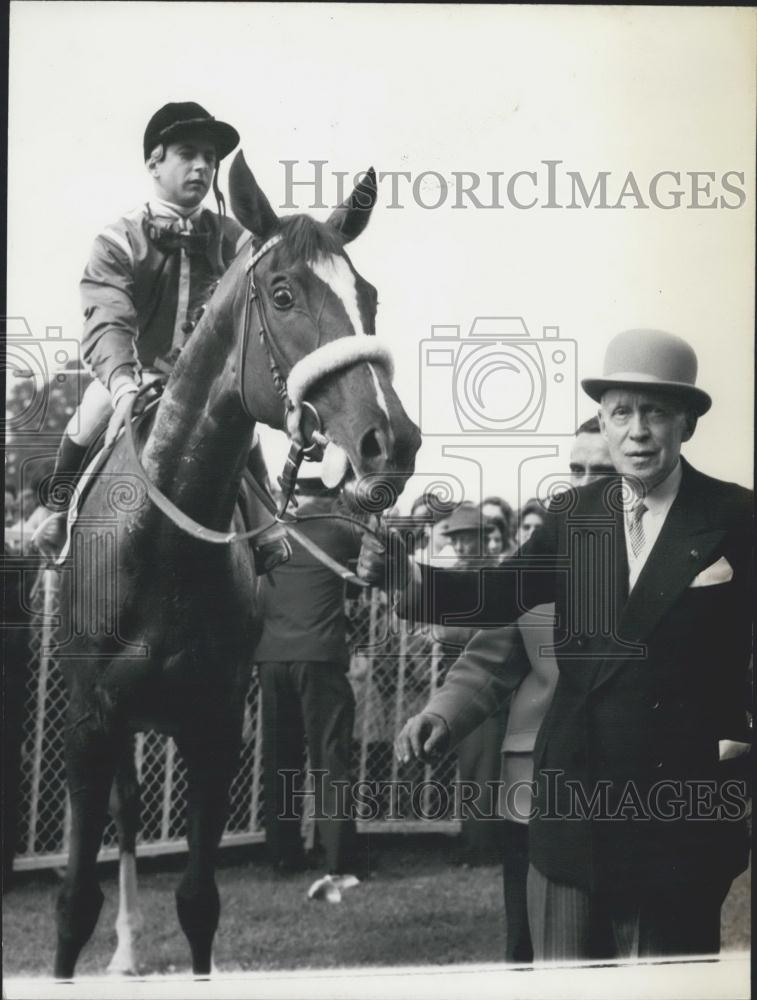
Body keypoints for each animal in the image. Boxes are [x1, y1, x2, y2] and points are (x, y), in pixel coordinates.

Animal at [52, 152, 420, 980]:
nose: (392, 441)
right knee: (127, 815)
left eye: (369, 296)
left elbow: (198, 902)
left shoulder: (215, 722)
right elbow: (74, 902)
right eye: (283, 294)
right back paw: (126, 948)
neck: (160, 547)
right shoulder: (91, 724)